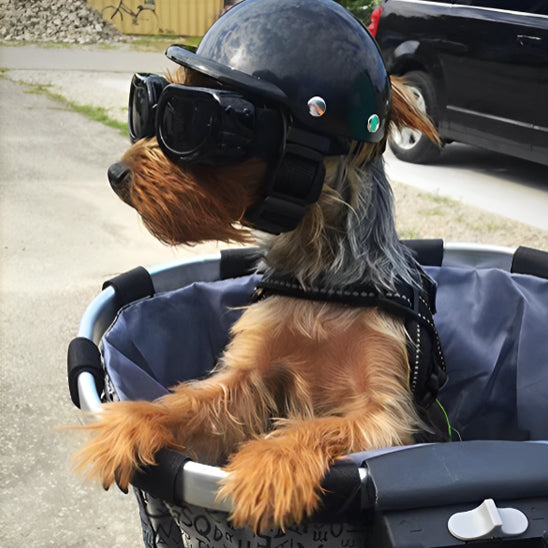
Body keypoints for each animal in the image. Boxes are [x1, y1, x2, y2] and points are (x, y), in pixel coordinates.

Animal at [75, 0, 448, 532]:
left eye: (193, 119)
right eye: (145, 103)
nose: (115, 173)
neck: (323, 275)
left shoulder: (384, 414)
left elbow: (319, 427)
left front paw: (270, 463)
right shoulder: (249, 377)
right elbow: (191, 400)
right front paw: (134, 422)